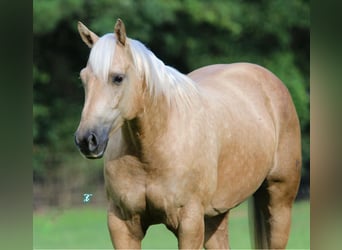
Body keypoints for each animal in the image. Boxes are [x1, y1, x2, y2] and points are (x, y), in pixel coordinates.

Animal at [75, 18, 302, 249]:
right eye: (83, 79)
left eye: (118, 78)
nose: (86, 140)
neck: (150, 152)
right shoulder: (122, 225)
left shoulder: (189, 223)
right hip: (216, 215)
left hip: (279, 202)